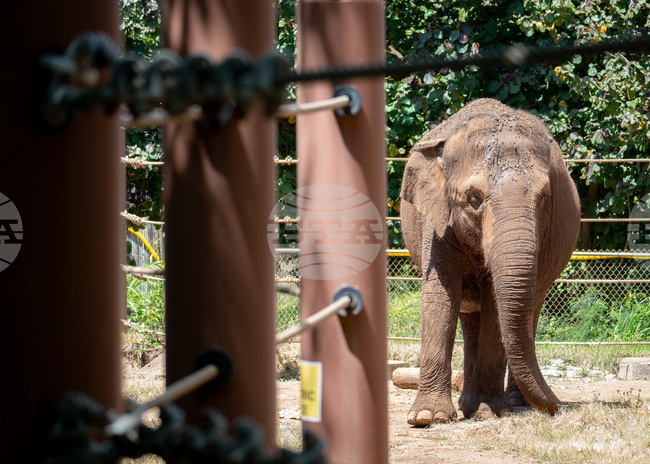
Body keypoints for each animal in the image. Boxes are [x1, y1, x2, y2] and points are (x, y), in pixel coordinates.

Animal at [400, 98, 580, 425]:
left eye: (544, 197)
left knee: (528, 312)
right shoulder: (437, 220)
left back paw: (513, 404)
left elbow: (494, 302)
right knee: (470, 318)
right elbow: (441, 293)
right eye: (474, 198)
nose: (559, 407)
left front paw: (488, 412)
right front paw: (427, 417)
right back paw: (467, 404)